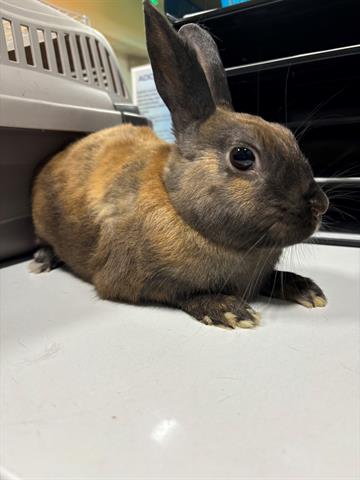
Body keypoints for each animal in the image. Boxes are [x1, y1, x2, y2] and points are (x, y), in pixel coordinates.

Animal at [31, 0, 330, 328]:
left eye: (287, 135)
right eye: (242, 156)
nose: (321, 205)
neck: (178, 205)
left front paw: (305, 288)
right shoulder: (131, 281)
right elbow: (181, 294)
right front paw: (228, 309)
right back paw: (41, 261)